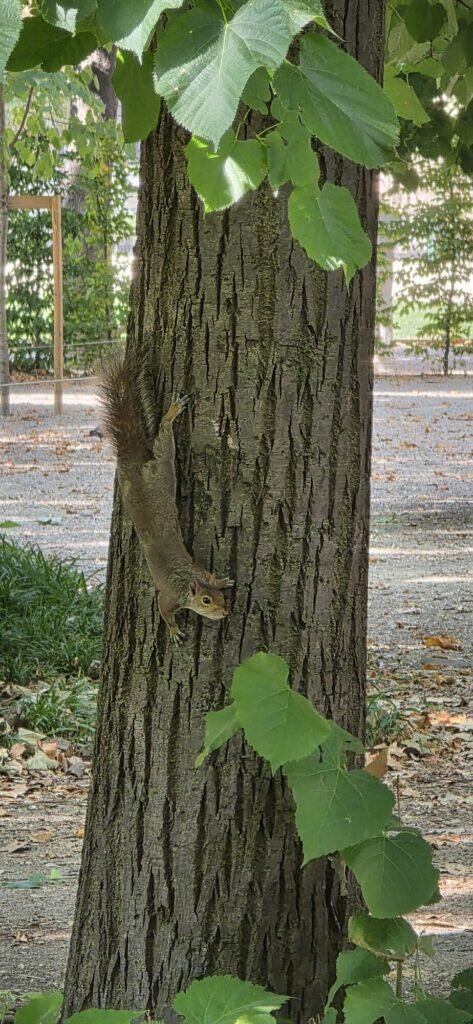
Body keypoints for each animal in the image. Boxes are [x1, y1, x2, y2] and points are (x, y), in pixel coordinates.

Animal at [97, 354, 233, 643]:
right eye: (206, 601)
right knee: (163, 437)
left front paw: (223, 580)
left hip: (131, 481)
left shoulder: (200, 571)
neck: (188, 582)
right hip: (163, 470)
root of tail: (135, 467)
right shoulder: (169, 597)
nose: (224, 613)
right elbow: (163, 610)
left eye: (220, 596)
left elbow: (211, 574)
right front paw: (174, 630)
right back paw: (172, 413)